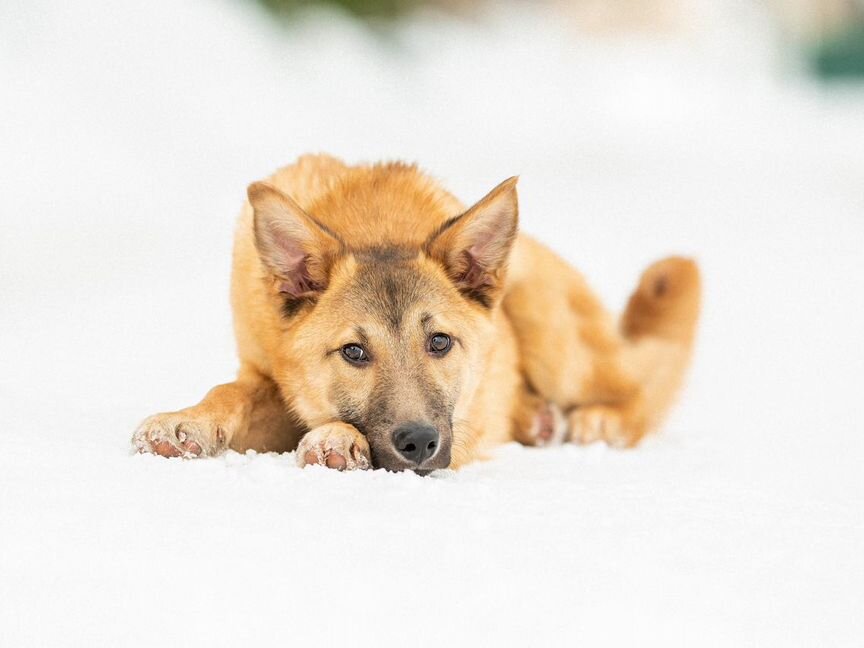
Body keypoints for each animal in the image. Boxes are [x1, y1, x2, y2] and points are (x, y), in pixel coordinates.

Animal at [135, 154, 704, 474]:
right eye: (353, 351)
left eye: (440, 342)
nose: (418, 444)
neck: (377, 225)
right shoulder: (262, 375)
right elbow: (230, 391)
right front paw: (187, 423)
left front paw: (337, 439)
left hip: (550, 327)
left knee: (632, 394)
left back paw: (599, 421)